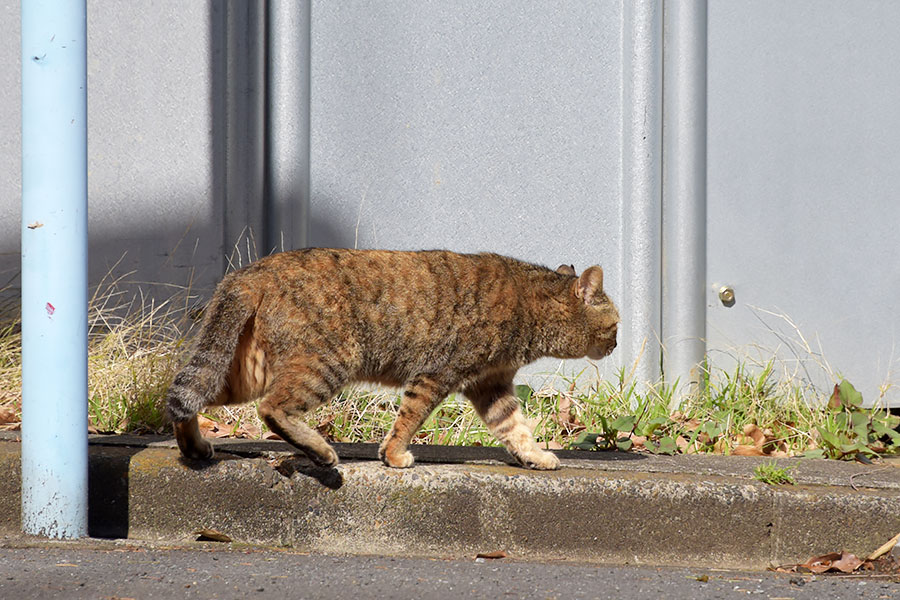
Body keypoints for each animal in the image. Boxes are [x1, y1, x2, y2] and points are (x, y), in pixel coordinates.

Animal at [165, 248, 620, 468]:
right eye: (615, 325)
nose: (617, 345)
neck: (529, 303)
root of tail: (248, 273)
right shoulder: (437, 374)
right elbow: (409, 419)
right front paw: (394, 455)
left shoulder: (491, 386)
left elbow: (515, 429)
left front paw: (535, 456)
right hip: (327, 362)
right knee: (272, 408)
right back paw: (320, 451)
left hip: (242, 372)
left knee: (185, 397)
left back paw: (195, 447)